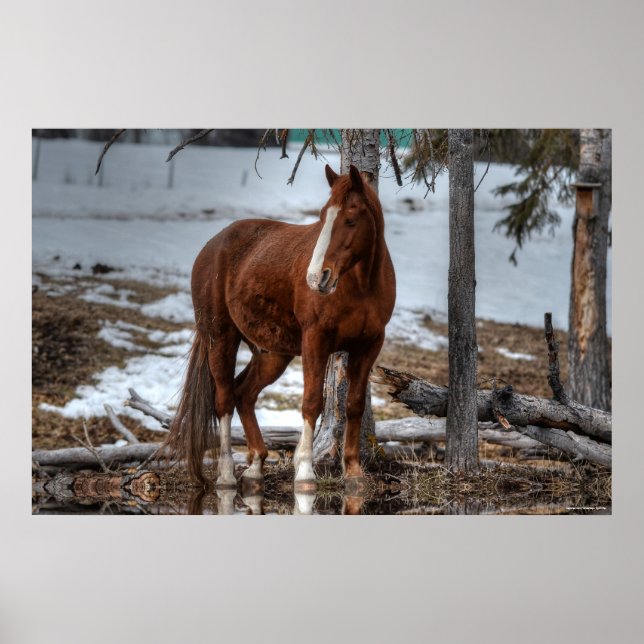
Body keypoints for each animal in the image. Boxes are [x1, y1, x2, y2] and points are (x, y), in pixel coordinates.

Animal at [163, 164, 396, 492]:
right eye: (322, 217)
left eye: (350, 220)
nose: (317, 278)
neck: (362, 286)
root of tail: (213, 245)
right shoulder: (316, 340)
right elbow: (312, 403)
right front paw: (305, 473)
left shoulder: (369, 345)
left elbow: (354, 405)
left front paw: (353, 472)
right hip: (220, 338)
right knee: (223, 399)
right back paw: (226, 473)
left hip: (271, 354)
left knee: (243, 394)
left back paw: (256, 466)